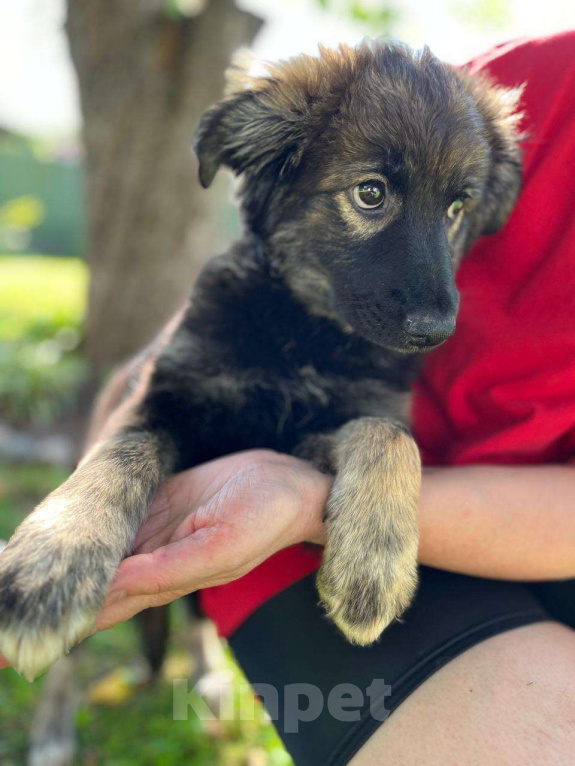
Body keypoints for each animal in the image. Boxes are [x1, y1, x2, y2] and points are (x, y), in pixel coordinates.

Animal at [0, 39, 520, 680]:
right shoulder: (161, 398)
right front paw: (54, 559)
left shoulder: (322, 426)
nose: (436, 332)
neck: (302, 333)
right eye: (370, 193)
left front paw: (374, 562)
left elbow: (390, 436)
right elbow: (114, 459)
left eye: (456, 209)